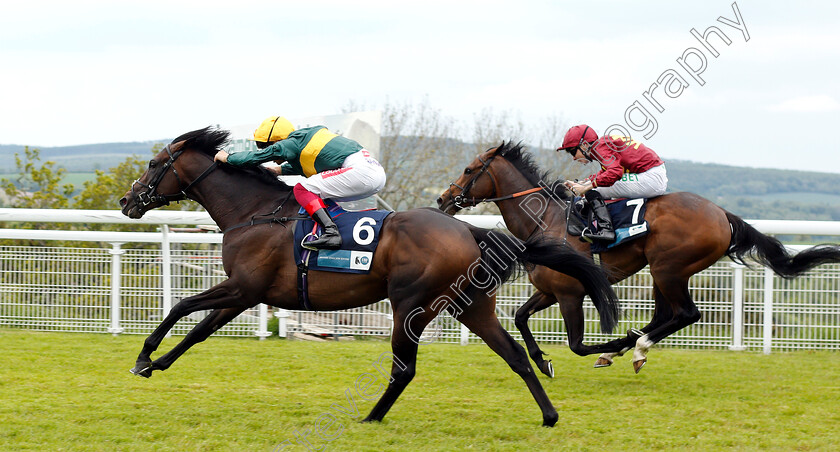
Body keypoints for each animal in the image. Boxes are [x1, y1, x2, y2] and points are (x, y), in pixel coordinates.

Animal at [118, 128, 620, 428]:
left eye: (154, 165)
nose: (127, 201)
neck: (255, 213)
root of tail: (469, 230)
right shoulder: (245, 293)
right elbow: (198, 331)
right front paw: (157, 364)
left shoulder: (243, 286)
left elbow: (181, 306)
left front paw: (143, 357)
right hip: (471, 306)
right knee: (513, 355)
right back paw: (549, 414)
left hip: (410, 304)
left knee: (405, 368)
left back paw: (372, 417)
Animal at [436, 142, 840, 374]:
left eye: (469, 170)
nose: (443, 199)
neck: (545, 220)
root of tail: (721, 213)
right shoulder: (550, 291)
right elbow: (520, 317)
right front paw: (543, 360)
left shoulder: (569, 294)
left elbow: (578, 345)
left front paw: (614, 346)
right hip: (665, 271)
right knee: (666, 315)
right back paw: (637, 346)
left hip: (668, 267)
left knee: (686, 314)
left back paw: (636, 347)